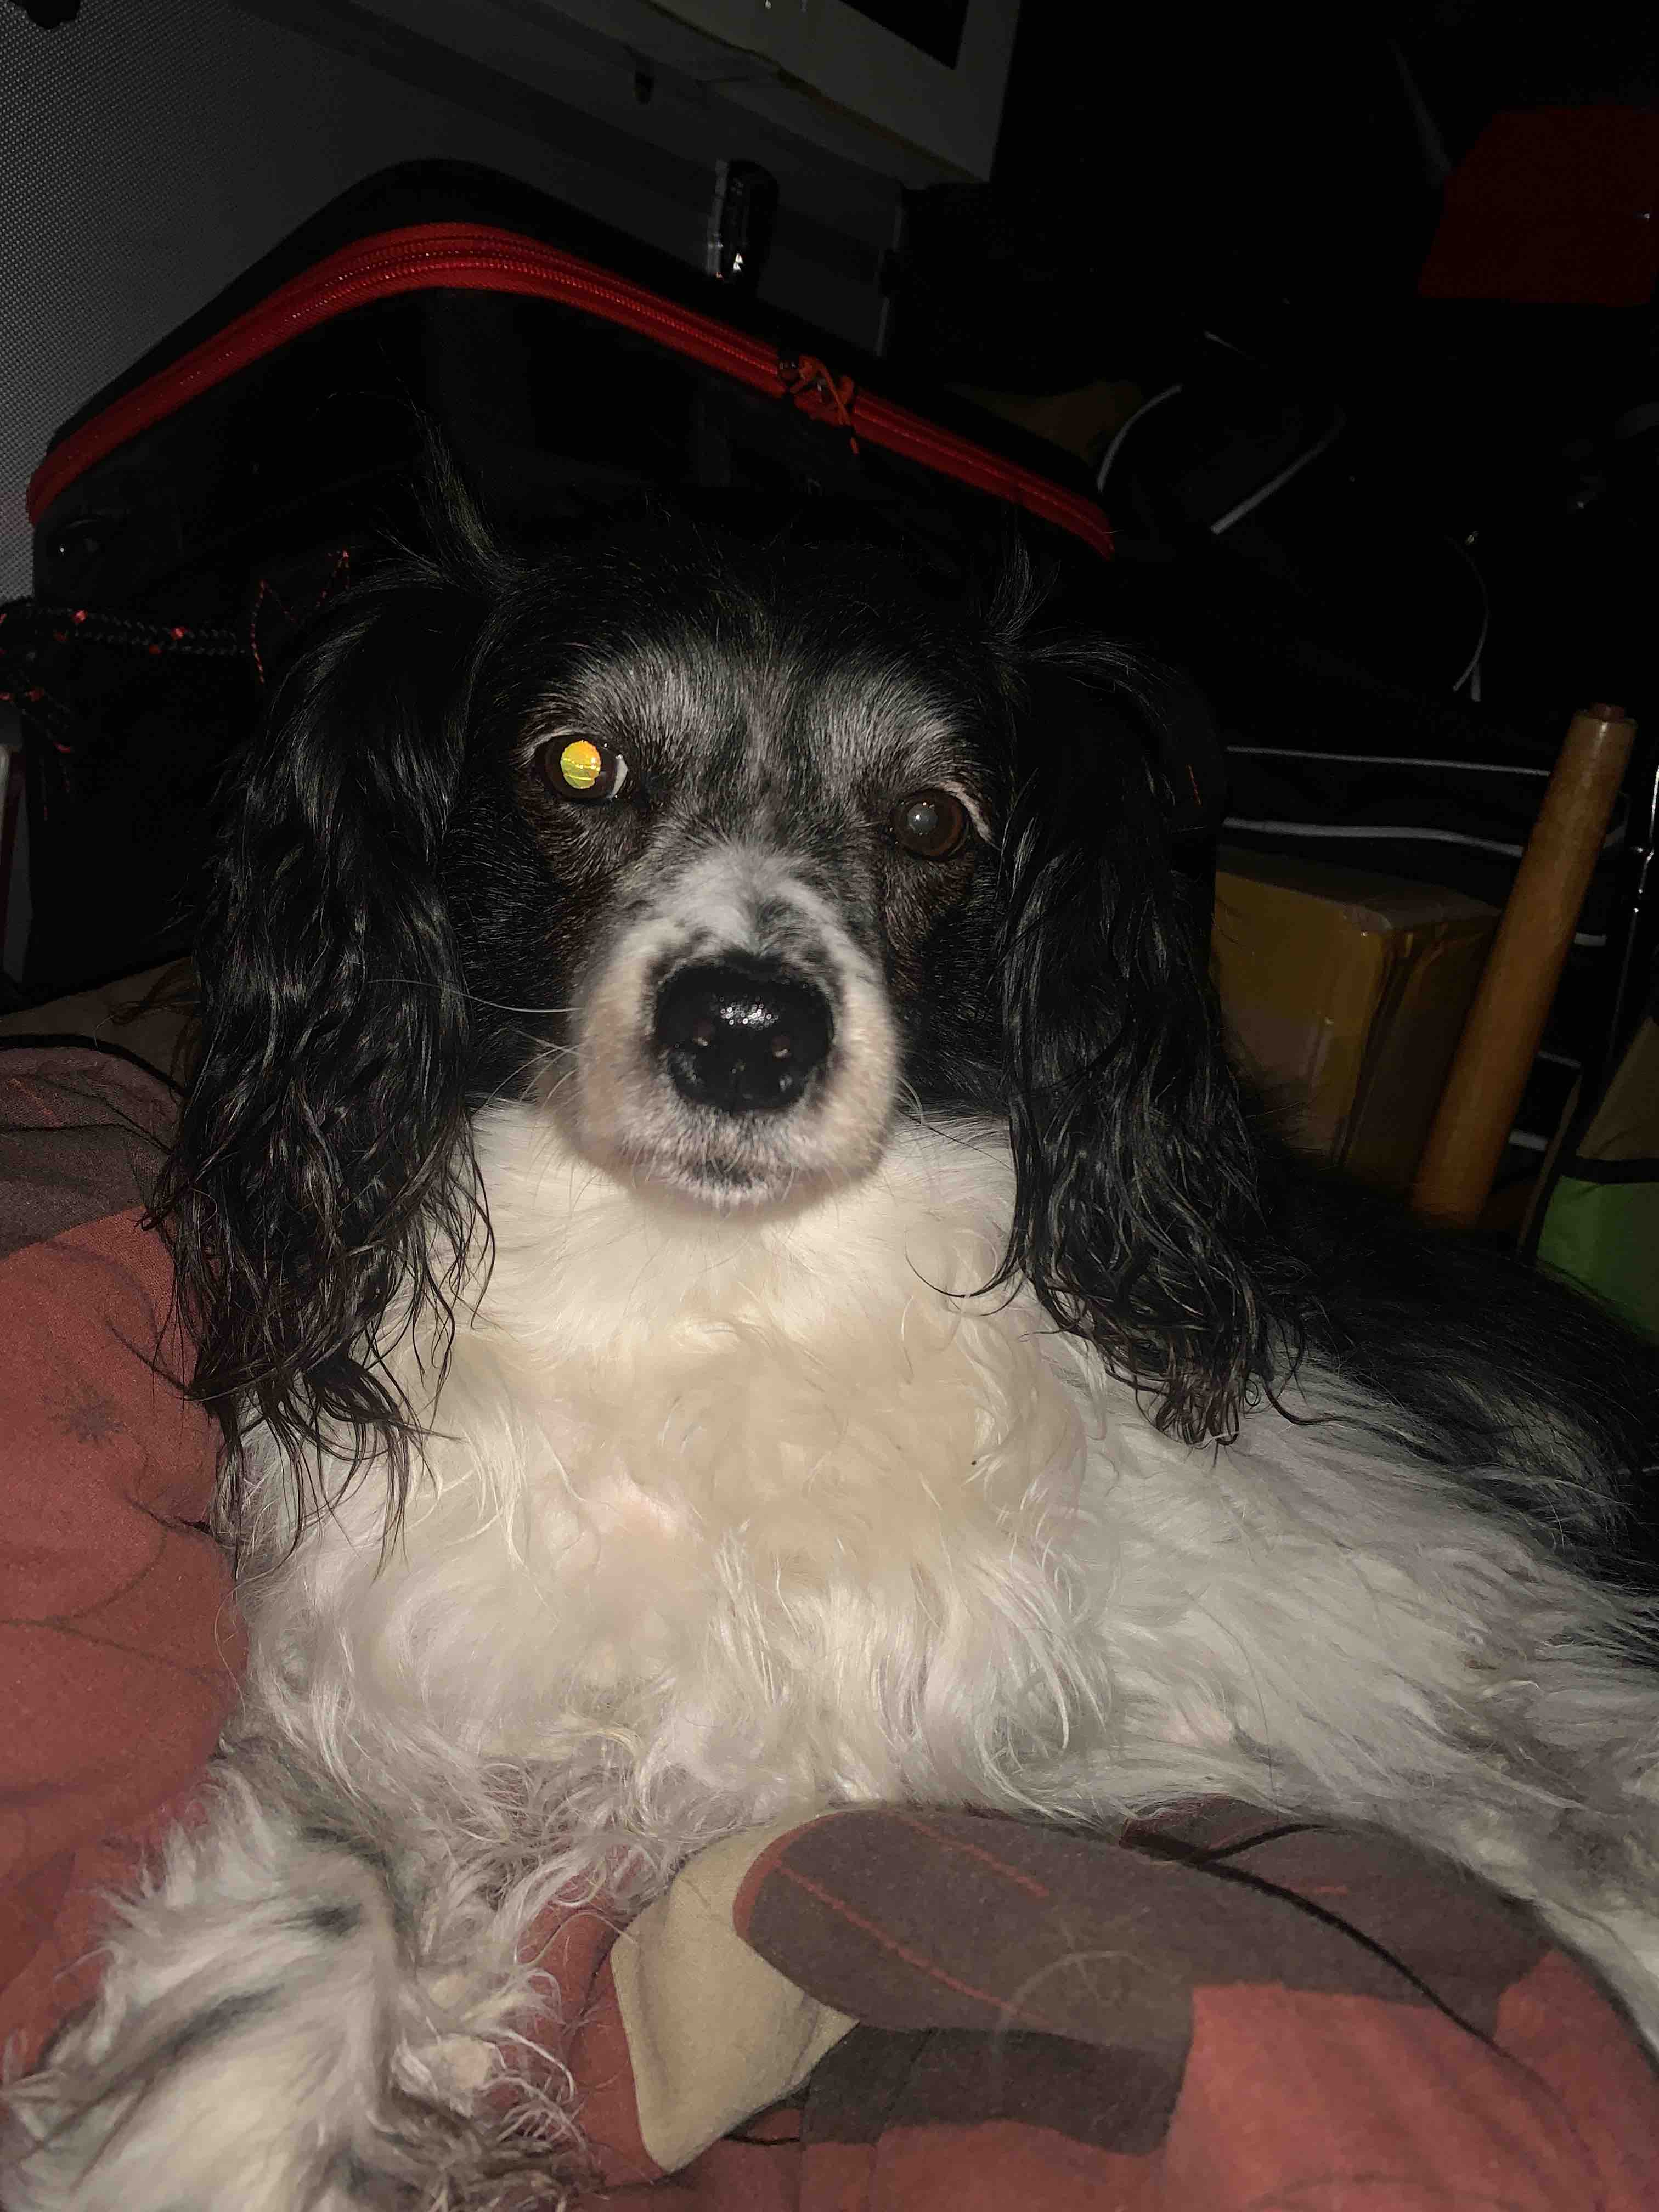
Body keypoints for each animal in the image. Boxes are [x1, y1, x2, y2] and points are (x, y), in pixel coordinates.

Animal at [7, 490, 1659, 2210]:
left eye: (933, 822)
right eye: (578, 765)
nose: (746, 1032)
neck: (716, 1296)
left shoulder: (1410, 1631)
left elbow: (1570, 1832)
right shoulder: (401, 1717)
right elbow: (313, 1931)